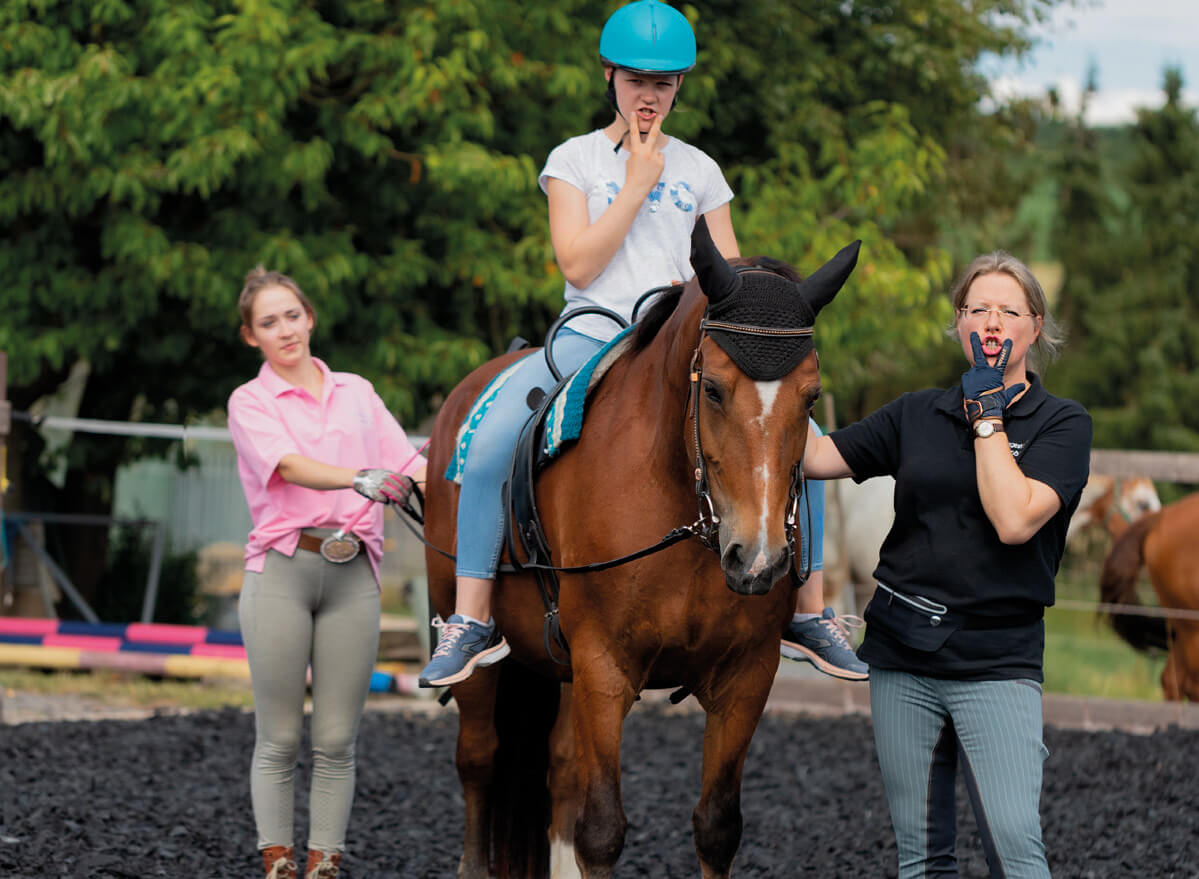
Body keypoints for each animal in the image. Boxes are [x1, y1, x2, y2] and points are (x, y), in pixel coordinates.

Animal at [422, 220, 863, 877]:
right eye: (713, 390)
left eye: (810, 399)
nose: (757, 561)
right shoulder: (604, 666)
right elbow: (602, 830)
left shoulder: (748, 674)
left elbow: (717, 827)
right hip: (480, 643)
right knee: (478, 762)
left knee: (559, 770)